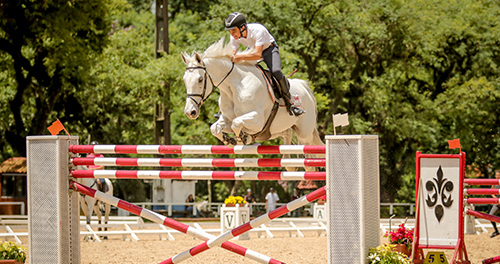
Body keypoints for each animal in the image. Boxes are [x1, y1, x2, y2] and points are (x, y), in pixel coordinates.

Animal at [181, 38, 324, 152]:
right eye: (184, 79)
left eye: (200, 79)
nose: (190, 112)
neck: (234, 87)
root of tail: (304, 86)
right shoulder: (226, 119)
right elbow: (215, 128)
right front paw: (230, 141)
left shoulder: (257, 119)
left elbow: (236, 123)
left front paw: (243, 138)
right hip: (280, 129)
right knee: (287, 134)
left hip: (305, 132)